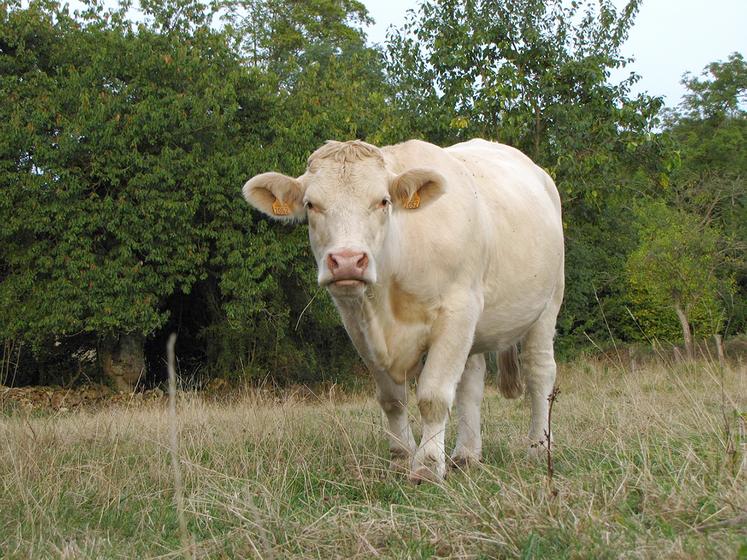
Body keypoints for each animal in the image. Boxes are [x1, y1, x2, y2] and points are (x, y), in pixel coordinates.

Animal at [243, 139, 564, 482]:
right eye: (311, 204)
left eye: (383, 201)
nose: (347, 261)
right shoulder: (357, 323)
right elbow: (392, 399)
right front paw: (400, 457)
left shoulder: (457, 311)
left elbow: (433, 395)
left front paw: (427, 465)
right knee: (471, 382)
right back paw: (466, 454)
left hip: (548, 303)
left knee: (539, 372)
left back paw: (537, 447)